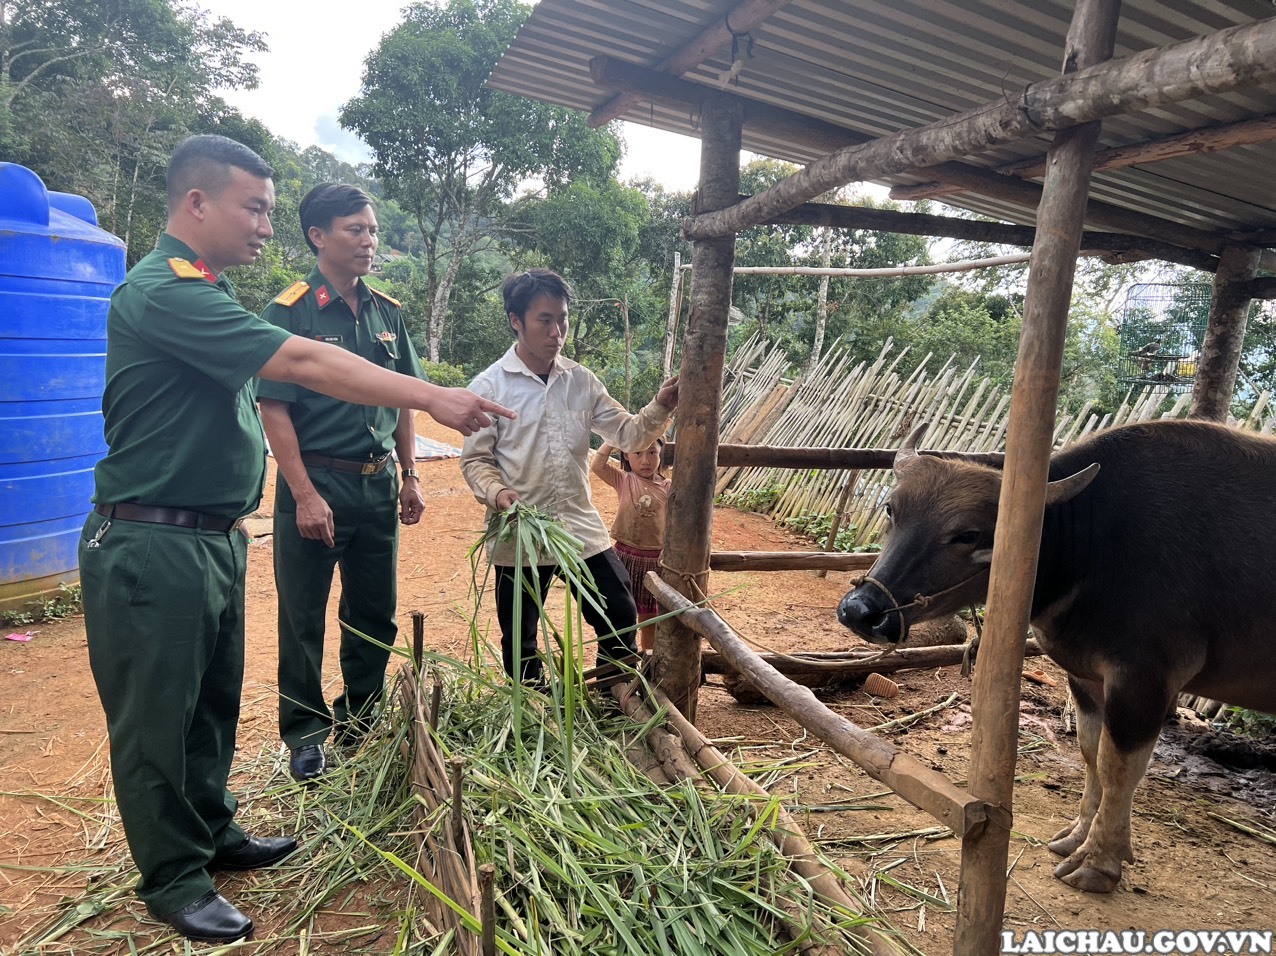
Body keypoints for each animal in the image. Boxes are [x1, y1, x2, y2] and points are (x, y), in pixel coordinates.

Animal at [837, 421, 1276, 893]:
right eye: (891, 509)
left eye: (968, 534)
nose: (862, 611)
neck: (1092, 550)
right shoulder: (1087, 677)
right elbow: (1091, 753)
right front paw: (1076, 837)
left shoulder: (1145, 678)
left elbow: (1119, 768)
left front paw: (1099, 862)